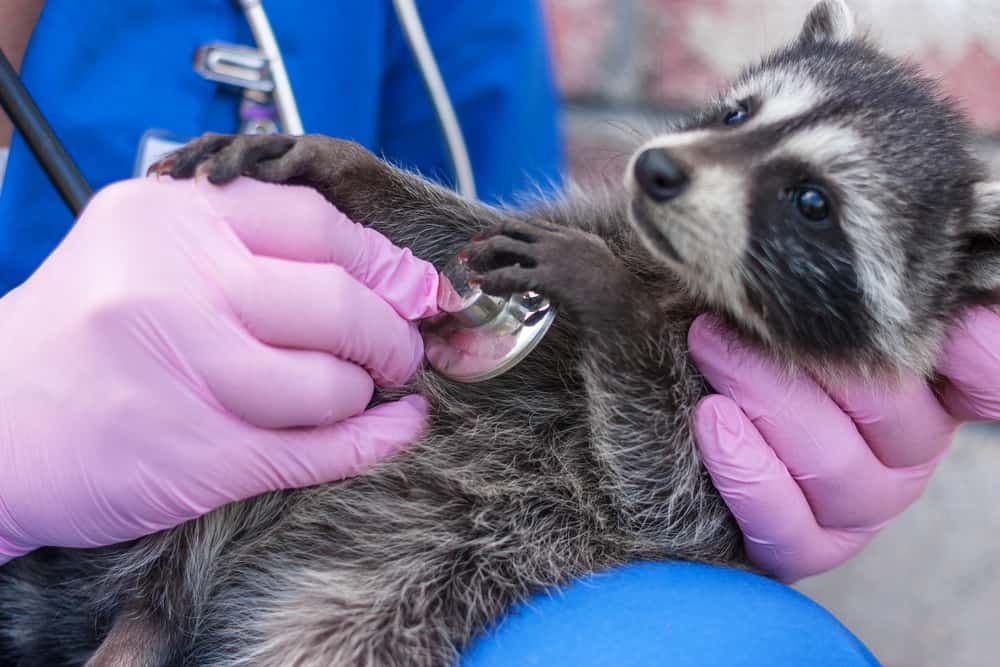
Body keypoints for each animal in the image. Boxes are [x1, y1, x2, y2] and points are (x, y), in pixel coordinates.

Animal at [3, 1, 996, 667]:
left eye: (812, 202)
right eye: (738, 114)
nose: (658, 170)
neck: (682, 277)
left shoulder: (718, 453)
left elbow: (663, 496)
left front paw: (612, 305)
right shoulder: (586, 222)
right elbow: (454, 237)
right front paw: (345, 170)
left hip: (364, 600)